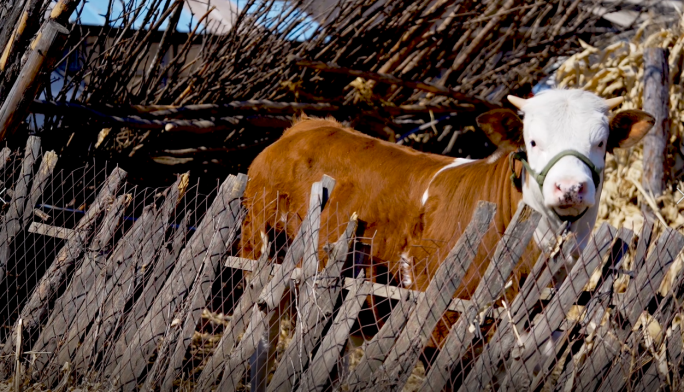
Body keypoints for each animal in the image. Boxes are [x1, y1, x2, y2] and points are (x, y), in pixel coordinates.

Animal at [239, 89, 652, 350]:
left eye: (600, 143)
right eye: (532, 142)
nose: (569, 186)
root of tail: (306, 125)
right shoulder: (442, 324)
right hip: (258, 253)